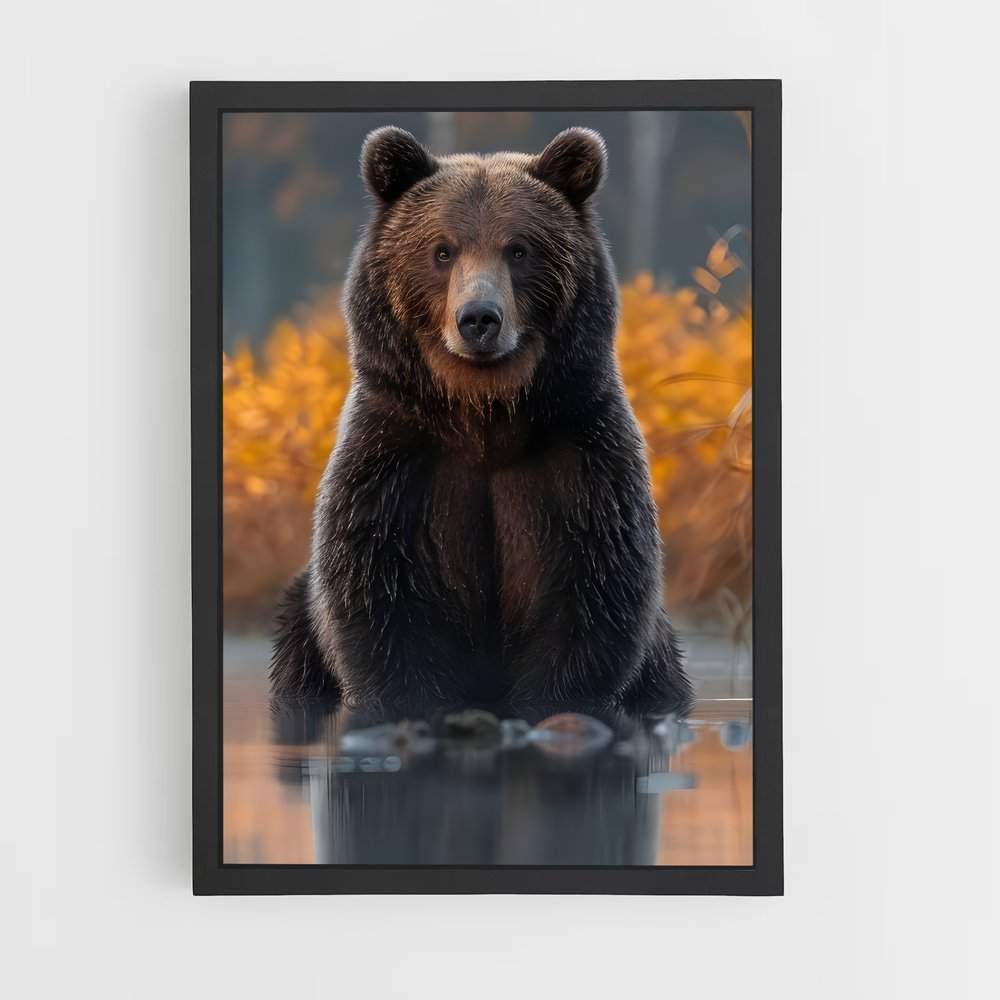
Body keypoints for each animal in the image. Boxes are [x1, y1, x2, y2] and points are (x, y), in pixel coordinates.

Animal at [270, 125, 691, 712]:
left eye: (519, 249)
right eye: (442, 250)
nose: (479, 319)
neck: (484, 415)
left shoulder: (581, 456)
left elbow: (594, 590)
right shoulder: (394, 458)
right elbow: (379, 598)